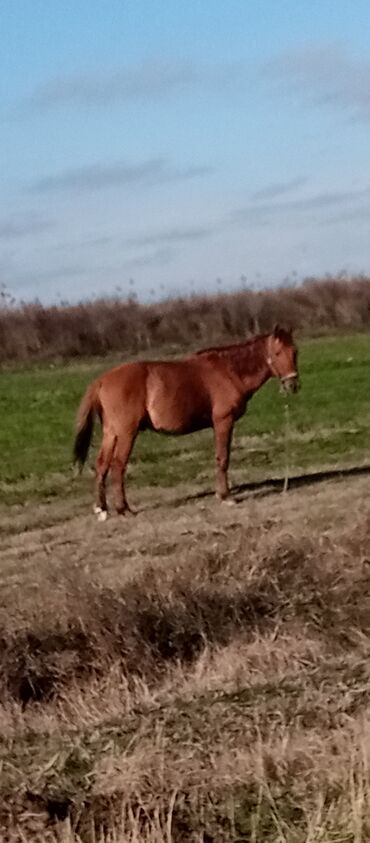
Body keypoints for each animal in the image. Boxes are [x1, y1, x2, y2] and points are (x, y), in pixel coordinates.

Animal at [73, 324, 300, 516]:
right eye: (277, 353)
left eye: (295, 352)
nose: (293, 385)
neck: (229, 370)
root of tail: (101, 381)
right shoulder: (223, 421)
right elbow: (222, 458)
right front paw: (225, 496)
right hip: (127, 432)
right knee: (118, 464)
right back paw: (123, 509)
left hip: (111, 432)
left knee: (102, 464)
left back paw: (102, 509)